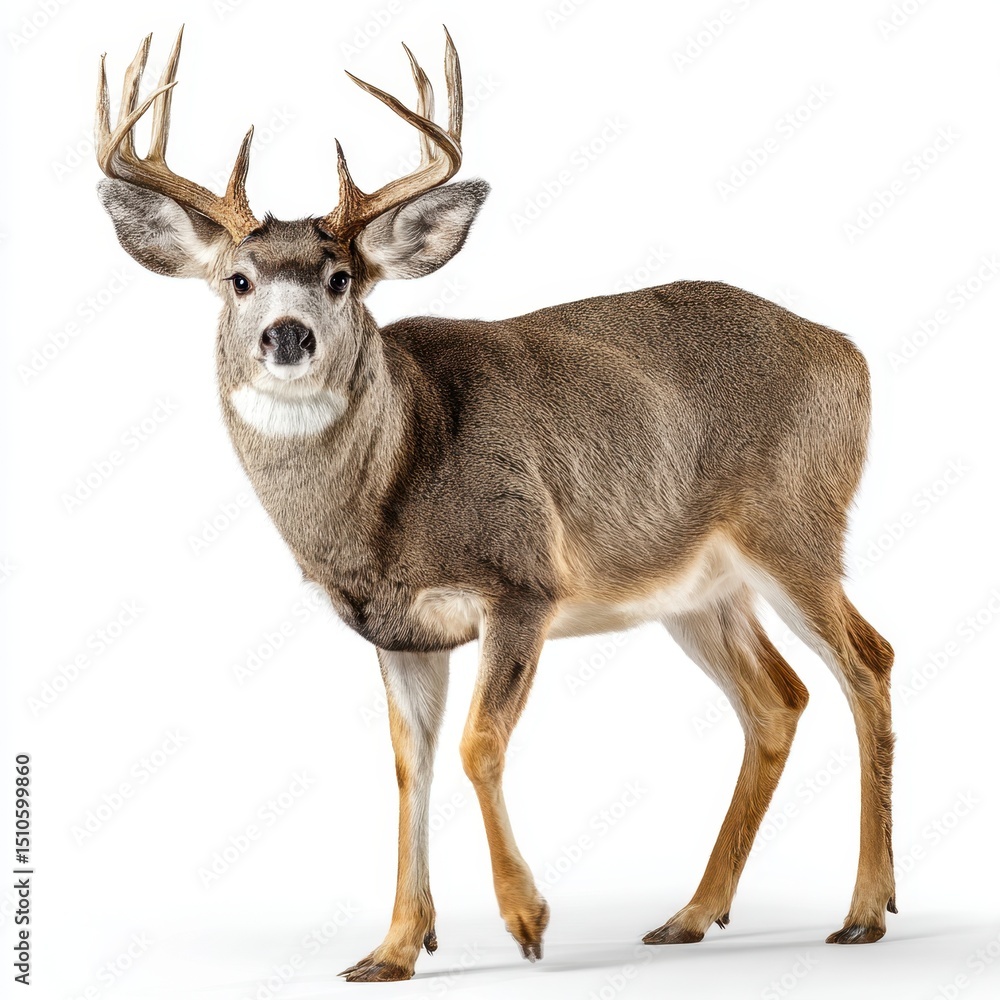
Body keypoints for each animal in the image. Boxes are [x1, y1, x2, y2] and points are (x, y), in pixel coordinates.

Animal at [94, 26, 896, 983]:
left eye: (339, 278)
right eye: (239, 280)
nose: (287, 335)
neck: (390, 501)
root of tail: (851, 354)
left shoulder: (523, 577)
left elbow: (479, 742)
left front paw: (527, 919)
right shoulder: (400, 630)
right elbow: (411, 767)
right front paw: (393, 949)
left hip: (797, 523)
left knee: (868, 662)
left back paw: (865, 912)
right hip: (697, 589)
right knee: (778, 698)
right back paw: (693, 915)